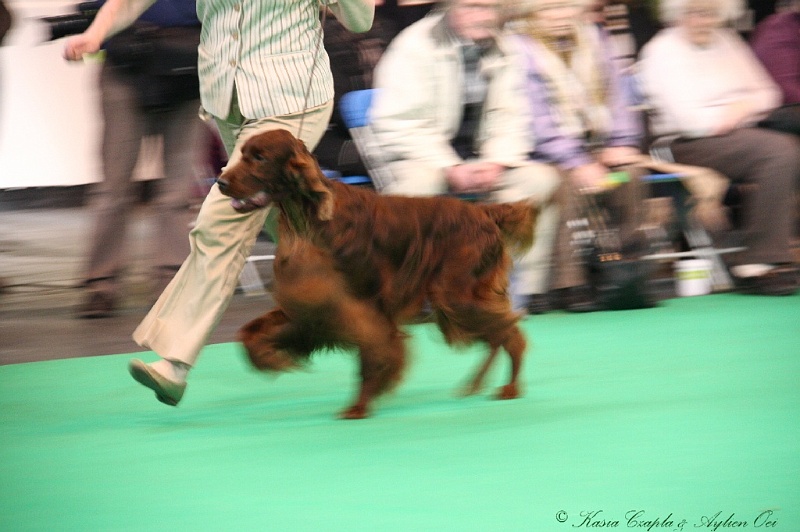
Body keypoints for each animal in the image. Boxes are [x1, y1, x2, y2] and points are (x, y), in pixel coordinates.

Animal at [216, 129, 536, 420]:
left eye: (260, 158)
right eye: (242, 154)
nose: (220, 182)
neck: (308, 221)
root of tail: (484, 212)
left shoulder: (364, 306)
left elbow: (372, 355)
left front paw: (359, 406)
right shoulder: (310, 303)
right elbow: (249, 332)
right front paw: (267, 357)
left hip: (456, 296)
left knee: (509, 333)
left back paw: (509, 388)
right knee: (497, 334)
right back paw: (476, 385)